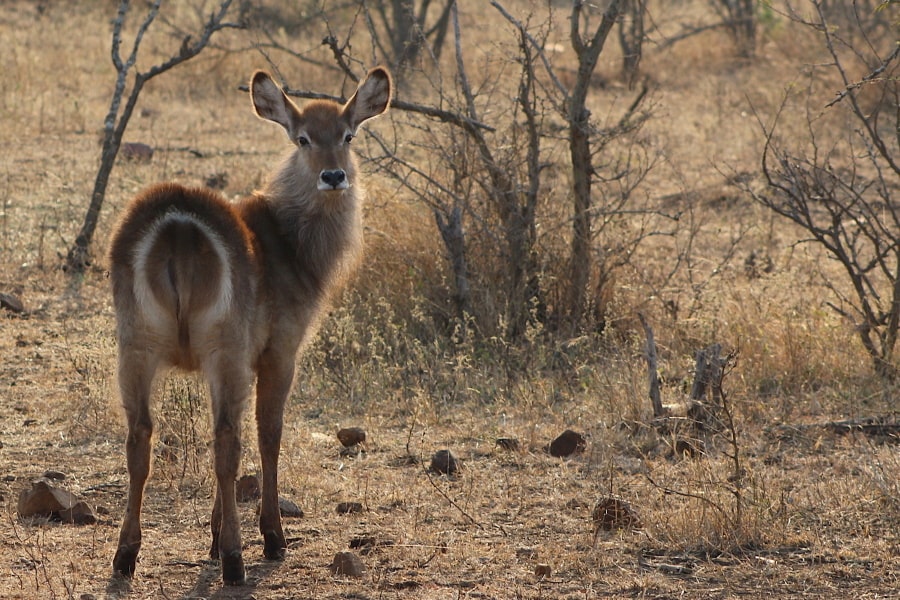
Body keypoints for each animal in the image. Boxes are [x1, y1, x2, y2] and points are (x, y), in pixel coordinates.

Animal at [108, 67, 390, 584]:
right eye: (302, 138)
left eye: (347, 135)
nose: (333, 176)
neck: (286, 241)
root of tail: (179, 222)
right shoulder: (280, 352)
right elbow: (269, 433)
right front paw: (267, 537)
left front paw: (213, 536)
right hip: (226, 350)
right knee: (227, 442)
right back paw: (238, 561)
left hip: (136, 346)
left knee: (140, 437)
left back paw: (126, 556)